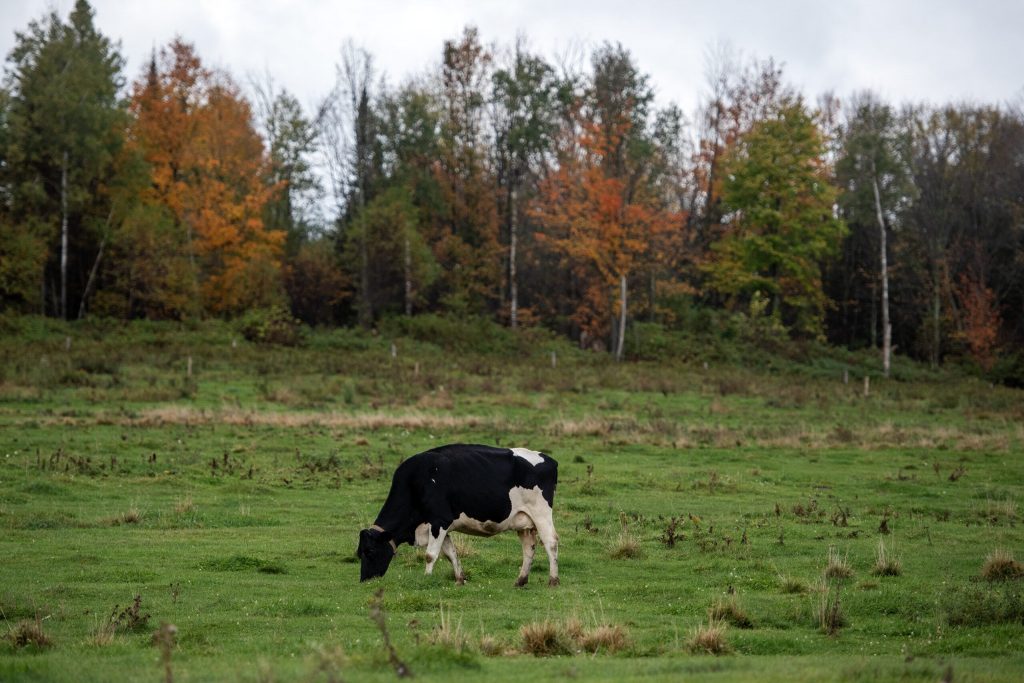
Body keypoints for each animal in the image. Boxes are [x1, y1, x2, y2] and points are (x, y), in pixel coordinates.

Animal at [357, 443, 559, 587]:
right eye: (359, 553)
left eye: (370, 551)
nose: (365, 579)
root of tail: (549, 460)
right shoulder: (441, 525)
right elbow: (450, 554)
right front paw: (460, 579)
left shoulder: (439, 521)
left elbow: (430, 554)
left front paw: (426, 578)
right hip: (523, 521)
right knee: (528, 548)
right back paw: (520, 580)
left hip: (541, 513)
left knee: (551, 542)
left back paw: (553, 580)